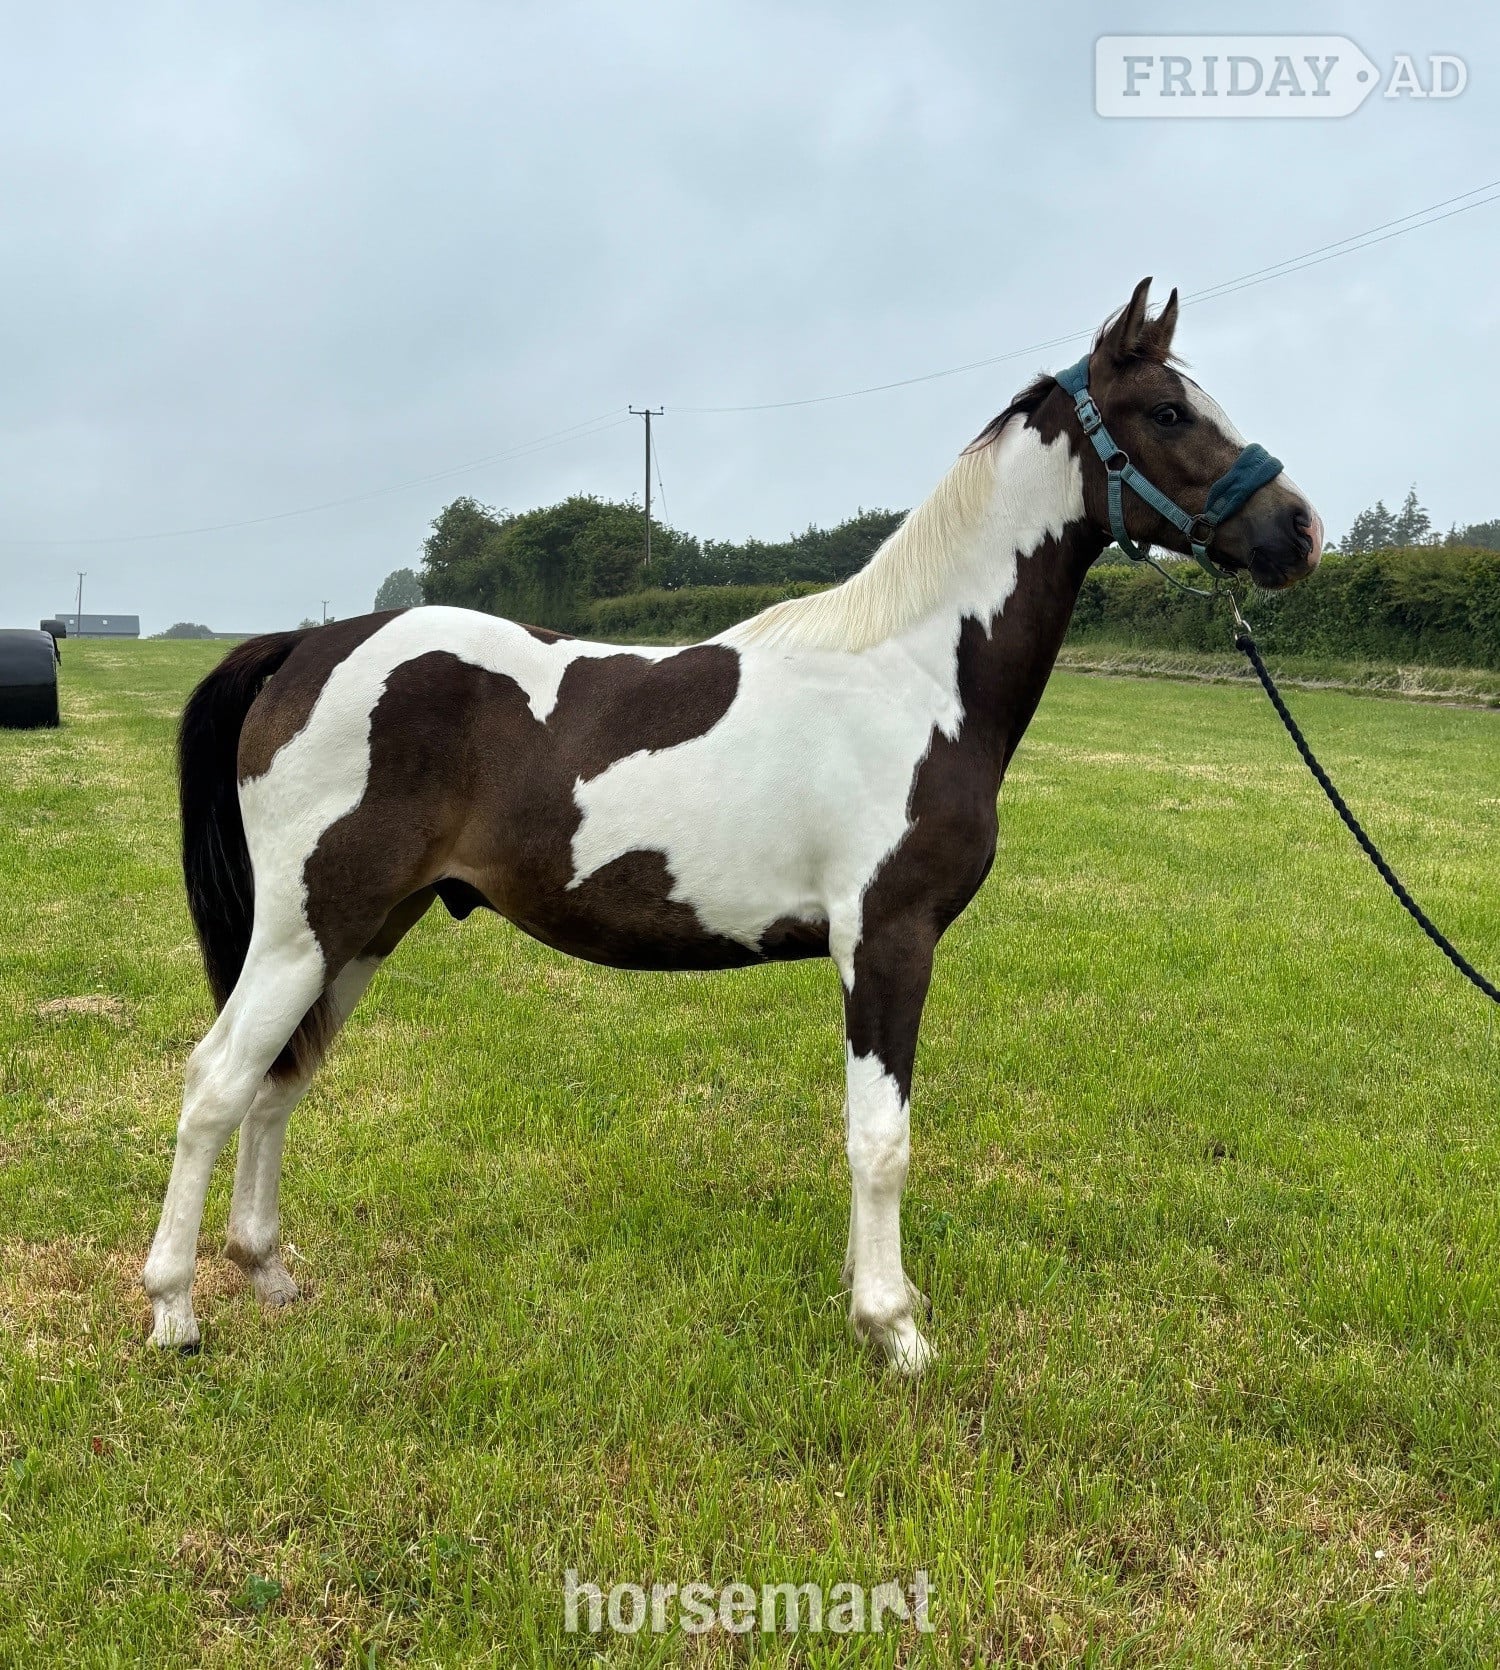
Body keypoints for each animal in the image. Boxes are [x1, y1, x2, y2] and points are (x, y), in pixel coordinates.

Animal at [144, 279, 1322, 1372]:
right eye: (1167, 409)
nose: (1299, 531)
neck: (914, 672)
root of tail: (301, 646)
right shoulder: (889, 939)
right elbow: (882, 1139)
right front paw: (895, 1330)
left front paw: (870, 1301)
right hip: (305, 929)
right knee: (215, 1082)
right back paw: (174, 1310)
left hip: (363, 929)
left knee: (279, 1082)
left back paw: (270, 1273)